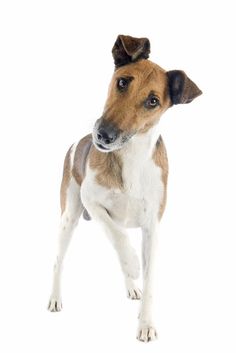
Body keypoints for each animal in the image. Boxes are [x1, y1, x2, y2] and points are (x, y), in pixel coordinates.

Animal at [48, 34, 203, 340]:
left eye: (153, 101)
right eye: (122, 82)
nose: (103, 135)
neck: (131, 156)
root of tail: (79, 141)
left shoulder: (152, 228)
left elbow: (149, 276)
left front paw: (146, 324)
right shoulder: (92, 200)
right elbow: (118, 236)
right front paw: (131, 262)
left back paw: (131, 285)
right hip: (69, 215)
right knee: (60, 260)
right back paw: (55, 298)